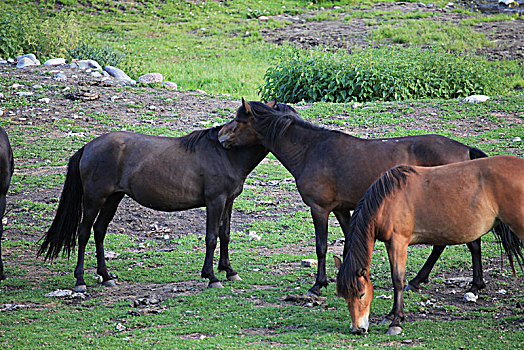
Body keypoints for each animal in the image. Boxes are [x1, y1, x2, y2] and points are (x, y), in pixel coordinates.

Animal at [37, 100, 294, 292]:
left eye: (240, 121)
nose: (221, 137)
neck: (225, 155)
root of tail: (88, 148)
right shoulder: (215, 201)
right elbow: (211, 238)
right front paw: (211, 277)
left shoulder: (228, 201)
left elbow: (225, 234)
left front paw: (229, 271)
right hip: (94, 199)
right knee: (83, 233)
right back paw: (80, 280)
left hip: (113, 198)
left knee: (99, 231)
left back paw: (106, 276)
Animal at [217, 98, 488, 296]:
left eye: (240, 119)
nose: (220, 136)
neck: (311, 150)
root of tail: (465, 150)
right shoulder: (341, 208)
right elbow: (348, 241)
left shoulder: (320, 208)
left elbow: (322, 246)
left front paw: (318, 284)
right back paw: (433, 281)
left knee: (463, 242)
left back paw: (466, 283)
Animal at [336, 154, 524, 334]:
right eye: (344, 296)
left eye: (361, 294)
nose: (357, 329)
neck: (388, 200)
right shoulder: (390, 244)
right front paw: (391, 315)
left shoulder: (399, 241)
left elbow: (398, 280)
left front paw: (396, 322)